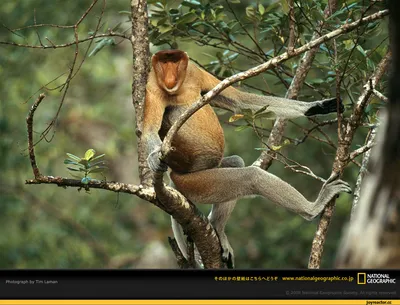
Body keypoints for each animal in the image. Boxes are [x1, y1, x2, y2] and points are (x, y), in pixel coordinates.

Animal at [142, 49, 352, 266]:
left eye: (174, 63)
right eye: (163, 64)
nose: (170, 77)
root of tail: (175, 174)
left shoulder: (193, 71)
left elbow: (240, 101)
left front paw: (317, 107)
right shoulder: (152, 87)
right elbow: (149, 130)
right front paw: (154, 159)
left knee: (237, 162)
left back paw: (218, 230)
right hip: (194, 182)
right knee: (251, 177)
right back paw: (313, 208)